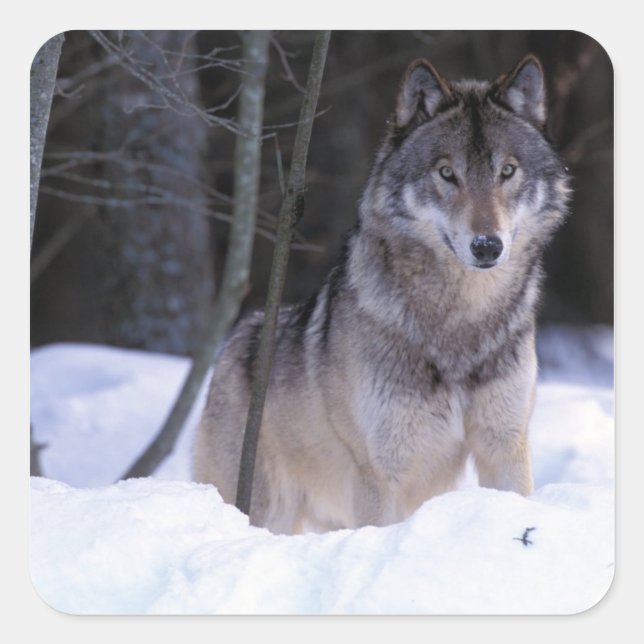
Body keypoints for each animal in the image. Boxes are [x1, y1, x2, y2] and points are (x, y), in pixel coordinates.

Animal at [193, 54, 571, 534]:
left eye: (507, 171)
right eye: (447, 173)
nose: (487, 246)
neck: (461, 323)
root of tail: (234, 342)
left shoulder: (505, 446)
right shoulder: (380, 471)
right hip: (269, 510)